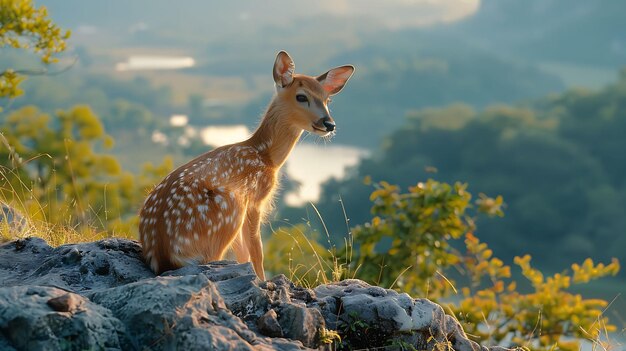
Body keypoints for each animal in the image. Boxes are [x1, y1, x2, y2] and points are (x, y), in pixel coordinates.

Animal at [139, 50, 354, 280]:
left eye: (327, 99)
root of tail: (162, 256)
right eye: (301, 96)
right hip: (229, 209)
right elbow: (257, 251)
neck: (266, 156)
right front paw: (262, 280)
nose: (329, 124)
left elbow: (243, 254)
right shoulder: (254, 198)